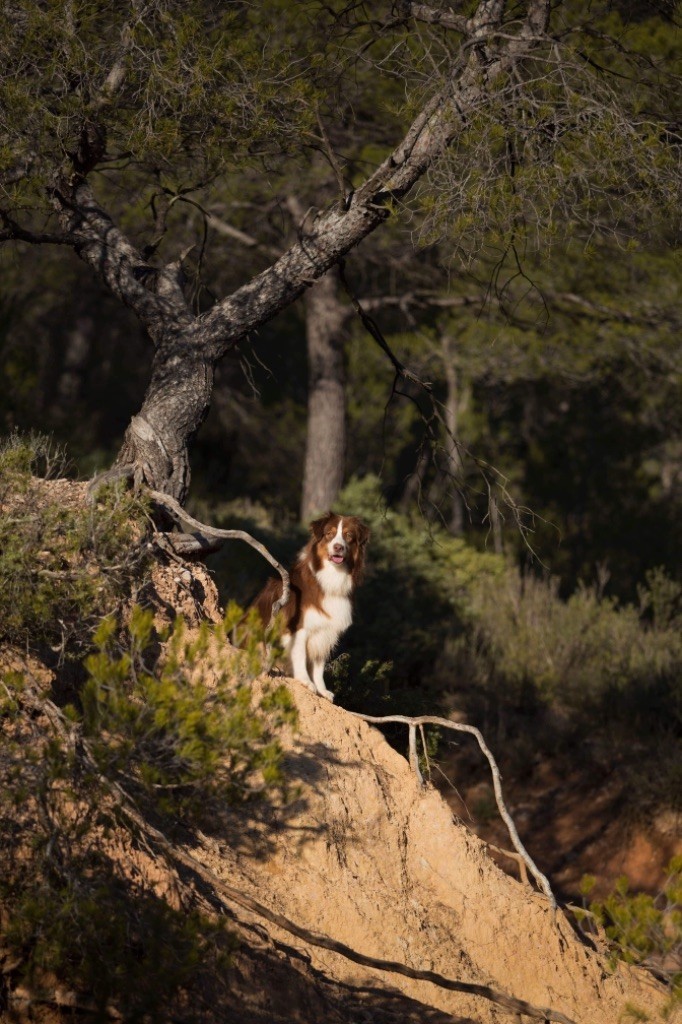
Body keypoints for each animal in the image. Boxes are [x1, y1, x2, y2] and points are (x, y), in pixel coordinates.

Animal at [250, 512, 366, 704]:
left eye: (349, 536)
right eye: (329, 534)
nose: (338, 547)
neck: (329, 578)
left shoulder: (326, 631)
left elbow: (318, 665)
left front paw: (322, 690)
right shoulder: (297, 627)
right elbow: (300, 655)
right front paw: (305, 681)